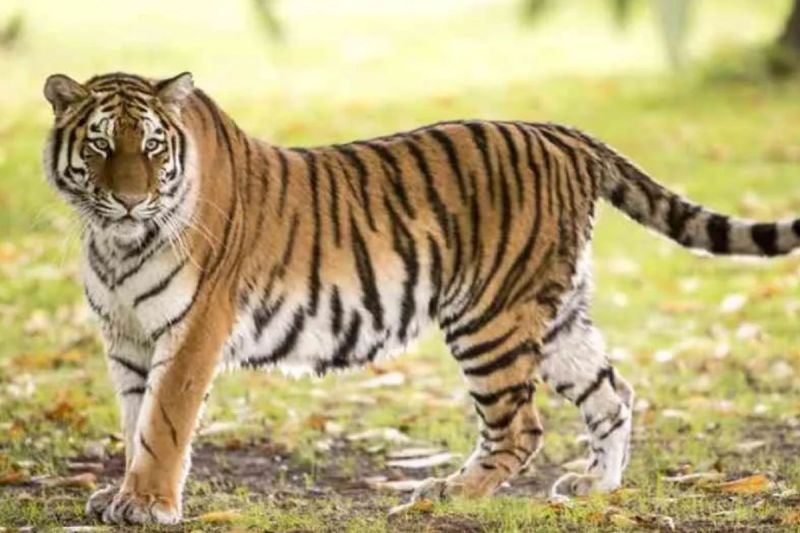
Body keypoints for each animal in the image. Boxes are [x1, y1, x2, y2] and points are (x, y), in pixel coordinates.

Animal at [41, 71, 800, 525]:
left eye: (152, 147)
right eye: (102, 145)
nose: (129, 198)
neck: (116, 241)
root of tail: (558, 132)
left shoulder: (192, 330)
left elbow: (165, 422)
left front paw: (147, 503)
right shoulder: (128, 339)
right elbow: (137, 421)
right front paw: (123, 492)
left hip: (489, 315)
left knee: (520, 426)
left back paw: (447, 494)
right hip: (555, 316)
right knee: (613, 391)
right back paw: (595, 488)